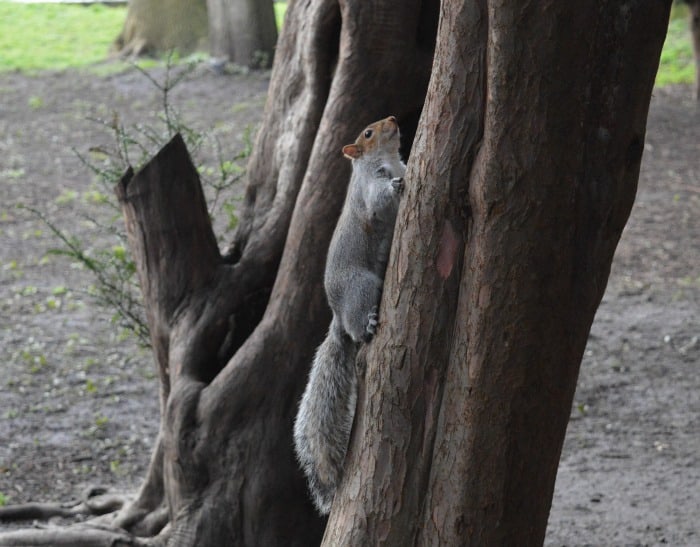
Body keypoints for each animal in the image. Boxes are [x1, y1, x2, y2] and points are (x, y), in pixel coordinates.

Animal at [294, 114, 404, 512]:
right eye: (368, 133)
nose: (393, 118)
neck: (385, 161)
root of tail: (339, 316)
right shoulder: (369, 191)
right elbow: (379, 201)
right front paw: (398, 185)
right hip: (363, 287)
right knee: (358, 331)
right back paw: (367, 324)